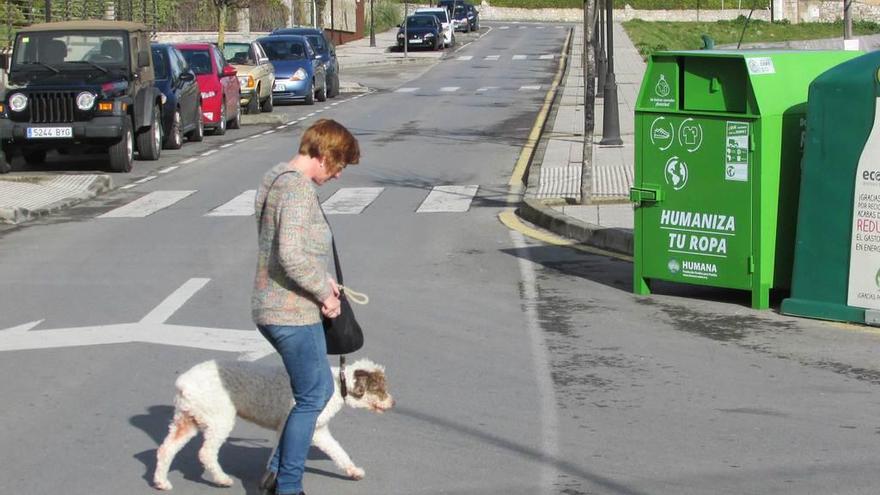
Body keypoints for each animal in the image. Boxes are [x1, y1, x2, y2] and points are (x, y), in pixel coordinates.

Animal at [153, 358, 394, 490]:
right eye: (380, 388)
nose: (393, 402)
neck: (336, 385)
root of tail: (184, 383)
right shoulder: (289, 423)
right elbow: (279, 453)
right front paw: (272, 479)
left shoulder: (318, 430)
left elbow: (338, 451)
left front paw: (353, 471)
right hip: (220, 418)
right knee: (206, 453)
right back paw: (221, 479)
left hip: (188, 418)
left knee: (166, 449)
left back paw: (161, 482)